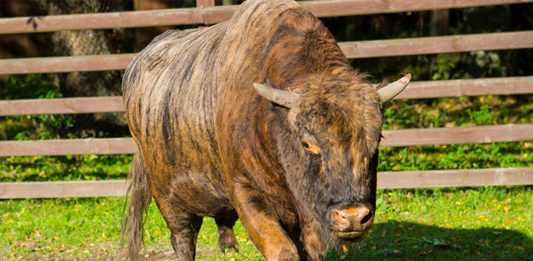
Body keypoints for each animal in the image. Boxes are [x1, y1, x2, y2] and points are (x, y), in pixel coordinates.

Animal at [121, 0, 412, 258]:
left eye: (377, 139)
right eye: (307, 143)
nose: (352, 216)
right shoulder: (246, 194)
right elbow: (282, 249)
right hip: (169, 201)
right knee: (183, 238)